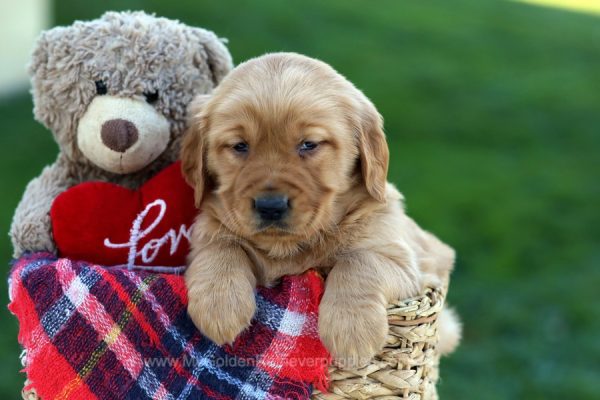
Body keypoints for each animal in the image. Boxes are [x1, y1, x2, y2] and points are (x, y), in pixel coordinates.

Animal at [180, 54, 458, 368]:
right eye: (240, 146)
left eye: (309, 144)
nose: (270, 206)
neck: (290, 247)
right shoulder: (206, 232)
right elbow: (221, 248)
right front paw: (219, 306)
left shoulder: (404, 261)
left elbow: (360, 261)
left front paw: (352, 331)